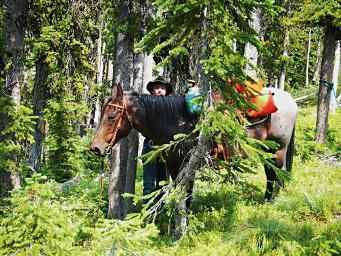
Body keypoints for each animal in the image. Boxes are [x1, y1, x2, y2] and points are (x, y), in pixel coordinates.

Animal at [90, 84, 294, 202]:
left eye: (111, 116)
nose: (95, 148)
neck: (174, 120)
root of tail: (290, 100)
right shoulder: (172, 165)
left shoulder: (188, 164)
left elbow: (186, 194)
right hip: (266, 150)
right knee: (272, 174)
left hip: (279, 149)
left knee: (276, 174)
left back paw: (270, 201)